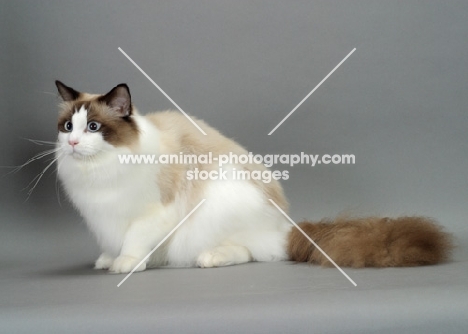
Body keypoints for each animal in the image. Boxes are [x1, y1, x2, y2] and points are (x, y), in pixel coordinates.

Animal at [54, 81, 454, 274]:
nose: (72, 142)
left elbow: (134, 241)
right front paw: (108, 259)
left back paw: (209, 259)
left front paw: (125, 264)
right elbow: (115, 242)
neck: (97, 171)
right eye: (67, 127)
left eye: (93, 127)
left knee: (250, 252)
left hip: (220, 204)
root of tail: (287, 227)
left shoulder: (154, 214)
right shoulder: (106, 217)